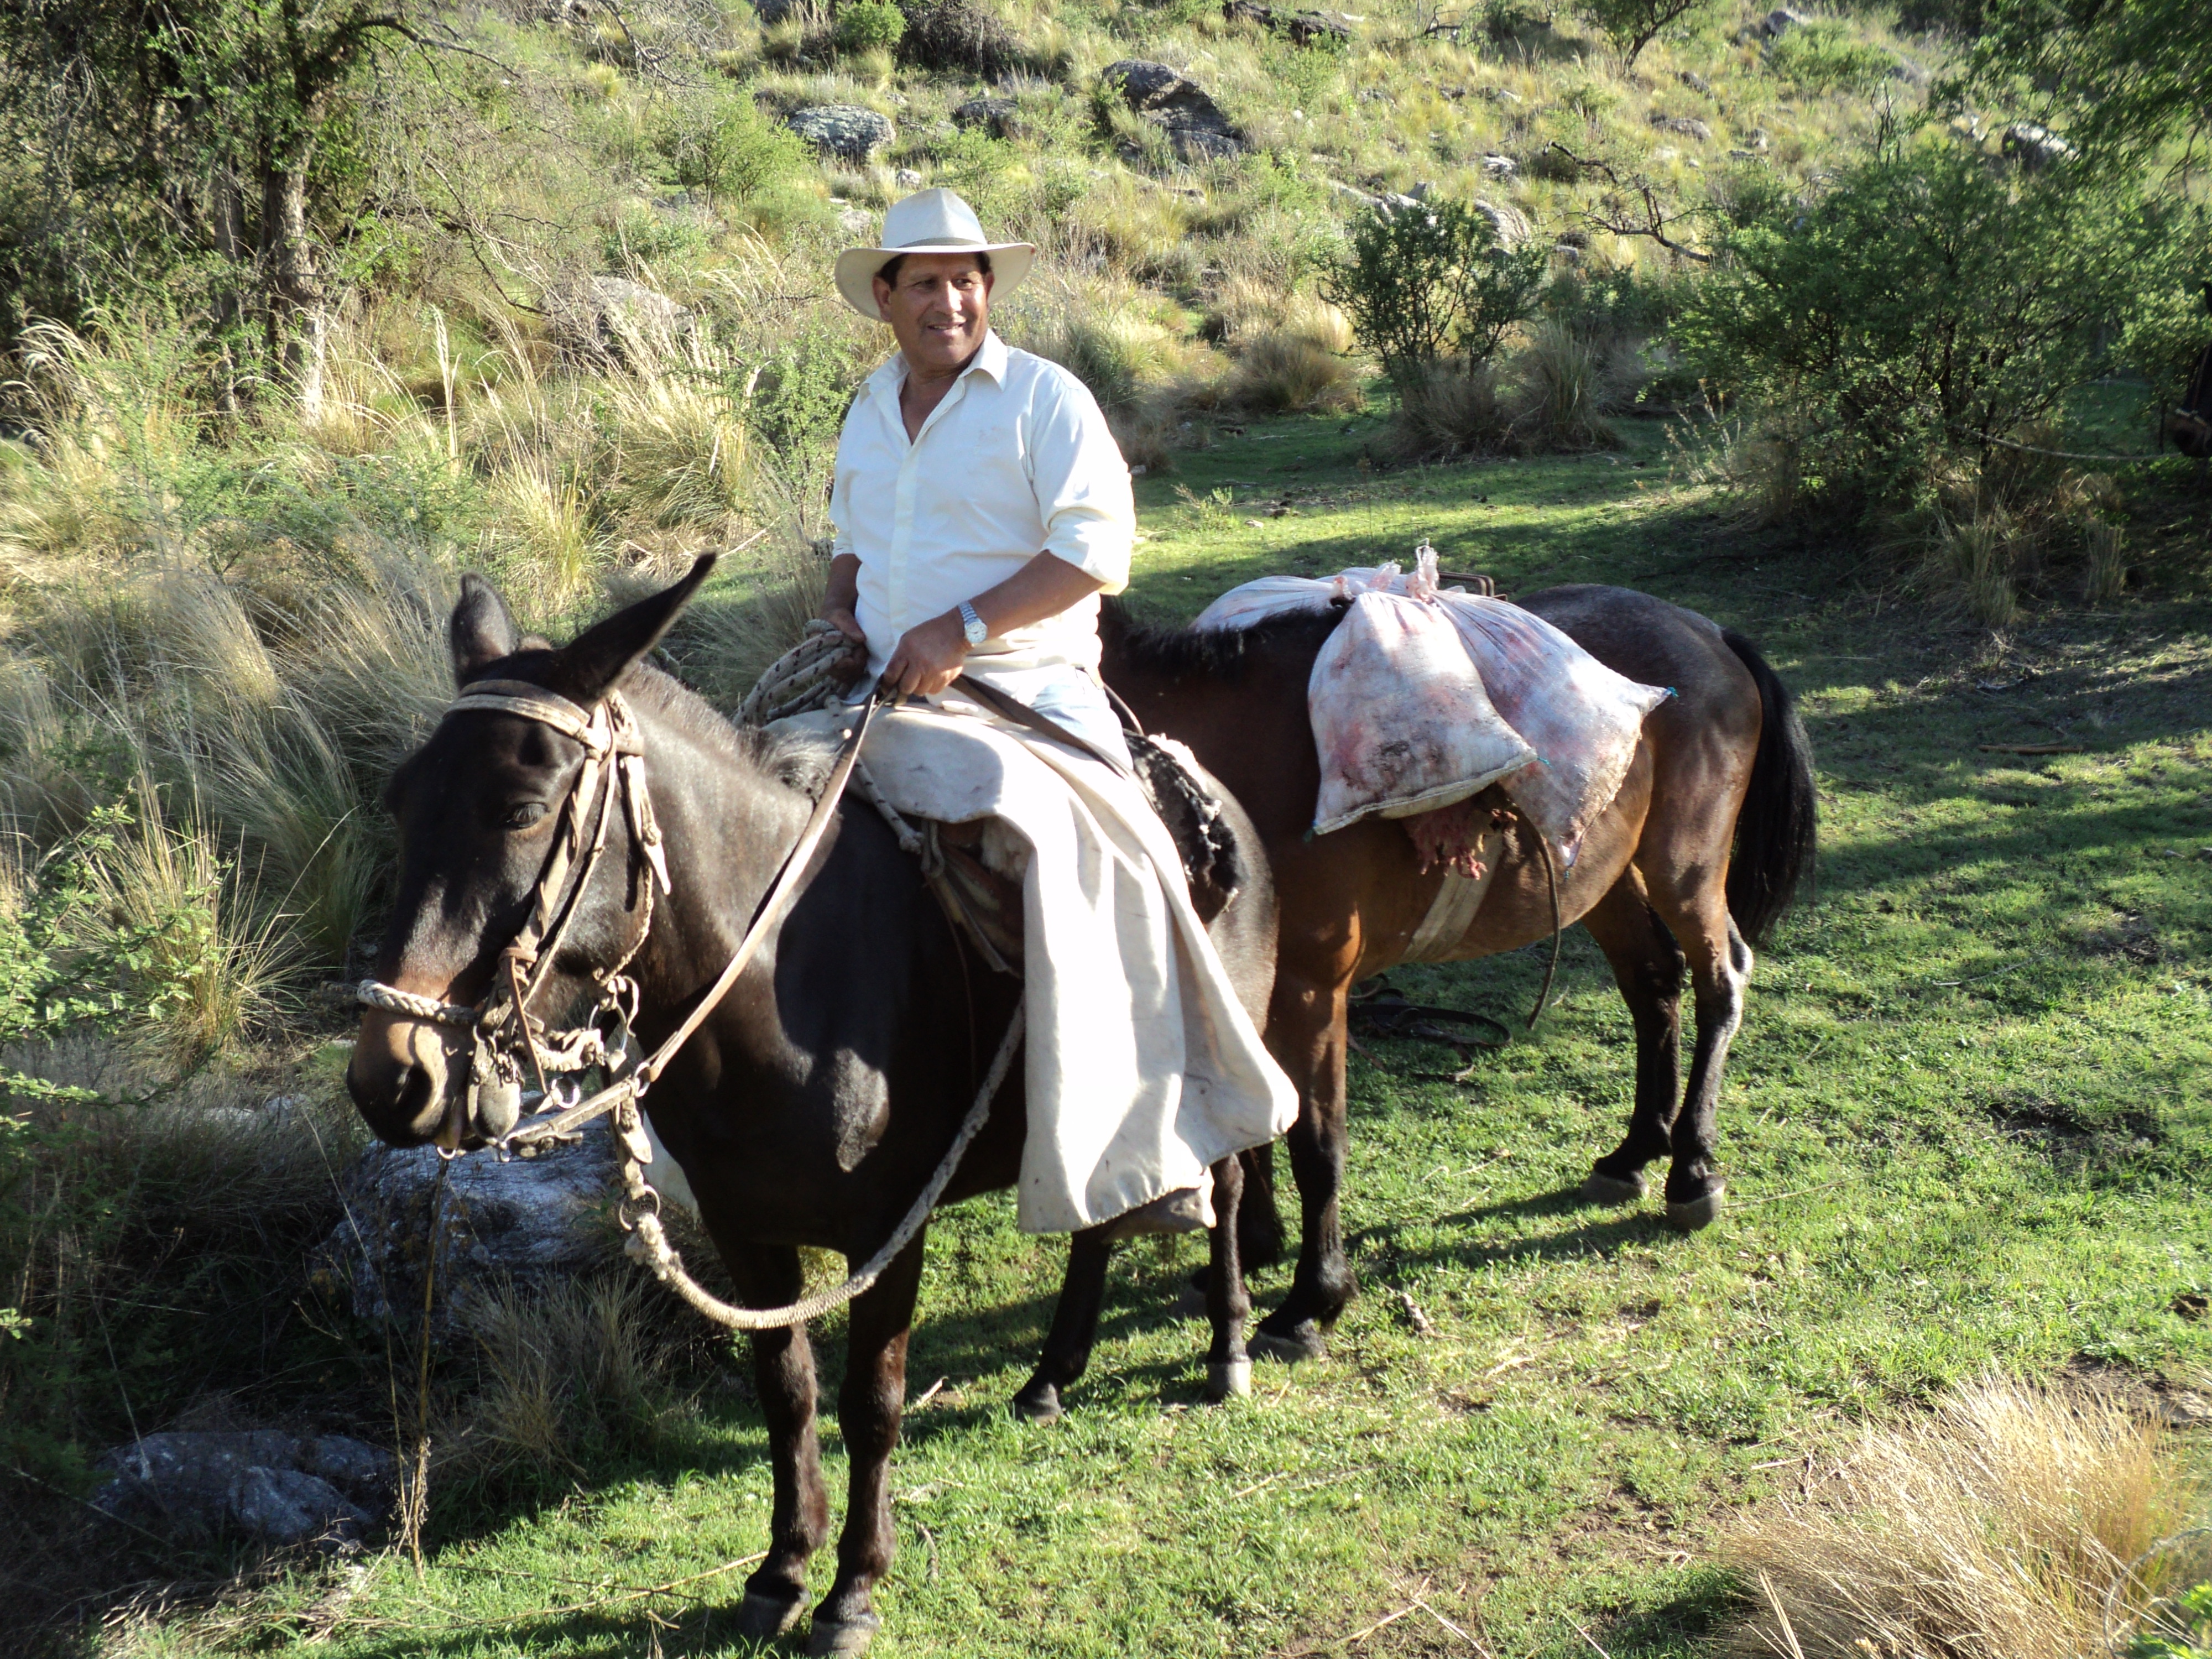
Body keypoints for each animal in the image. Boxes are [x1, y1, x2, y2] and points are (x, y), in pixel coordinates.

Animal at [1071, 593, 1814, 1371]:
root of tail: (1707, 631)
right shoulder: (1247, 988)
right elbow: (1256, 1129)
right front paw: (1257, 1246)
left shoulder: (1312, 993)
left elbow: (1316, 1144)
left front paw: (1311, 1300)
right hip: (1602, 875)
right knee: (1653, 981)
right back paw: (1638, 1148)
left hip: (1684, 865)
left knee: (1720, 980)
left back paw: (1693, 1167)